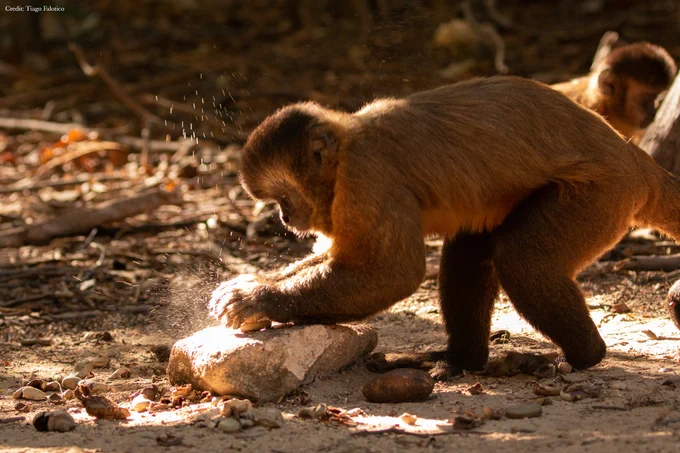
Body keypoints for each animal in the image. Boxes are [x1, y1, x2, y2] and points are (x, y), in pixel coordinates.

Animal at [208, 76, 680, 378]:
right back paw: (462, 359)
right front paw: (252, 285)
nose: (285, 219)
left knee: (520, 258)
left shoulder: (367, 176)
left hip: (604, 195)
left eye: (284, 199)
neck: (348, 140)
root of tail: (635, 158)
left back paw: (583, 356)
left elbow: (393, 272)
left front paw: (258, 300)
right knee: (471, 253)